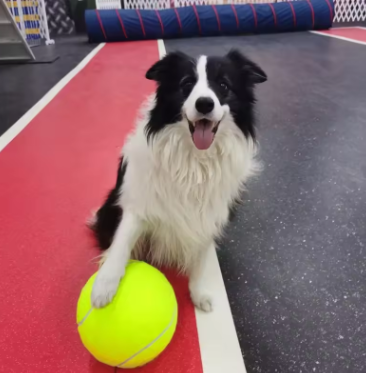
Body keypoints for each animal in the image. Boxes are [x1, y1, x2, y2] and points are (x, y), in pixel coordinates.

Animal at [88, 49, 266, 310]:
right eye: (186, 84)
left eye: (223, 85)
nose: (205, 103)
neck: (195, 160)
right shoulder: (138, 203)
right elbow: (122, 242)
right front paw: (104, 285)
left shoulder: (208, 215)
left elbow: (200, 259)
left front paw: (199, 292)